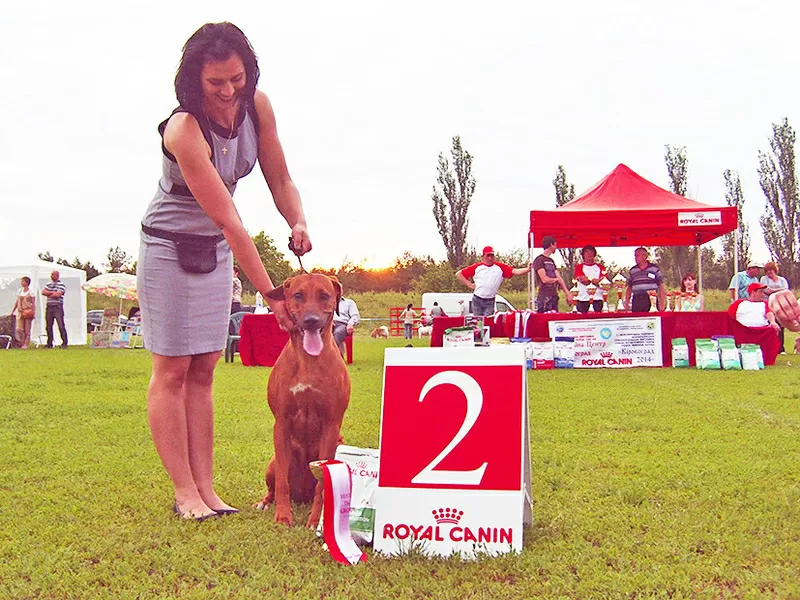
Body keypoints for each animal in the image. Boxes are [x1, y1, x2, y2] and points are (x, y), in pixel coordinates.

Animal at [252, 274, 348, 528]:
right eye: (298, 295)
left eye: (324, 295)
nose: (311, 321)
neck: (308, 360)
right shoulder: (282, 422)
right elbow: (282, 484)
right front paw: (283, 516)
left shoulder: (331, 424)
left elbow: (323, 487)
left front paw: (315, 520)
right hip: (274, 462)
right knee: (275, 485)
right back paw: (265, 502)